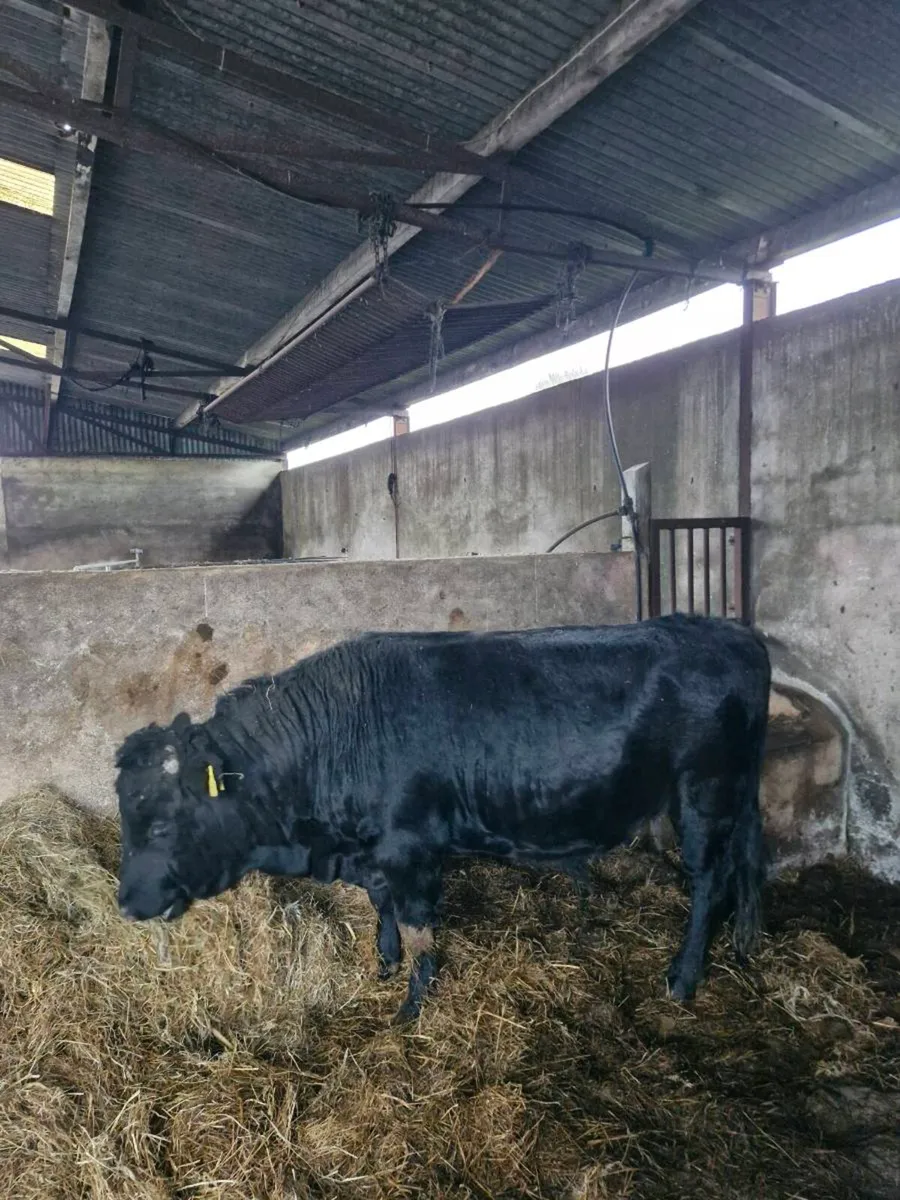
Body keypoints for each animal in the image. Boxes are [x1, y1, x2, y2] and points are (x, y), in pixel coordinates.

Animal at [115, 614, 770, 1023]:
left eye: (163, 825)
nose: (126, 905)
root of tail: (733, 634)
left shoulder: (409, 851)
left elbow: (418, 927)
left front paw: (411, 1006)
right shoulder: (376, 852)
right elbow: (383, 908)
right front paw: (383, 964)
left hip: (705, 793)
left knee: (709, 882)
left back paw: (684, 977)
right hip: (735, 796)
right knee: (743, 868)